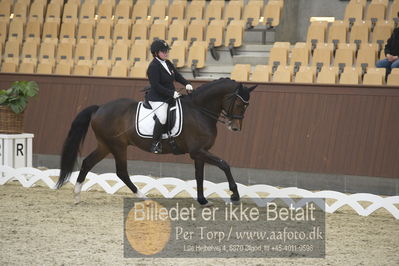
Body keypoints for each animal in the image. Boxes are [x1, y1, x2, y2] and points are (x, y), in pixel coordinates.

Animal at [55, 78, 256, 205]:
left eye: (247, 106)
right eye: (240, 104)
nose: (235, 127)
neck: (200, 111)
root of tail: (99, 108)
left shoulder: (200, 152)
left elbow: (199, 175)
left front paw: (202, 200)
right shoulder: (198, 151)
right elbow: (224, 164)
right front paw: (235, 194)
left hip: (105, 146)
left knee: (88, 163)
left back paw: (76, 196)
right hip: (117, 146)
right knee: (122, 172)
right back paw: (143, 197)